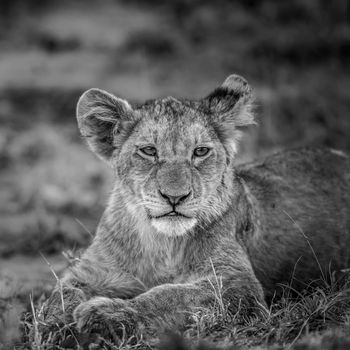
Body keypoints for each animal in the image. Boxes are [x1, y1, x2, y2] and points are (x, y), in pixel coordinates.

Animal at [40, 74, 350, 348]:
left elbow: (170, 295)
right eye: (149, 151)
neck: (161, 243)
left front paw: (104, 316)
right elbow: (59, 296)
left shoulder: (238, 284)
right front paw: (54, 326)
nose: (175, 197)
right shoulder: (91, 272)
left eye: (200, 152)